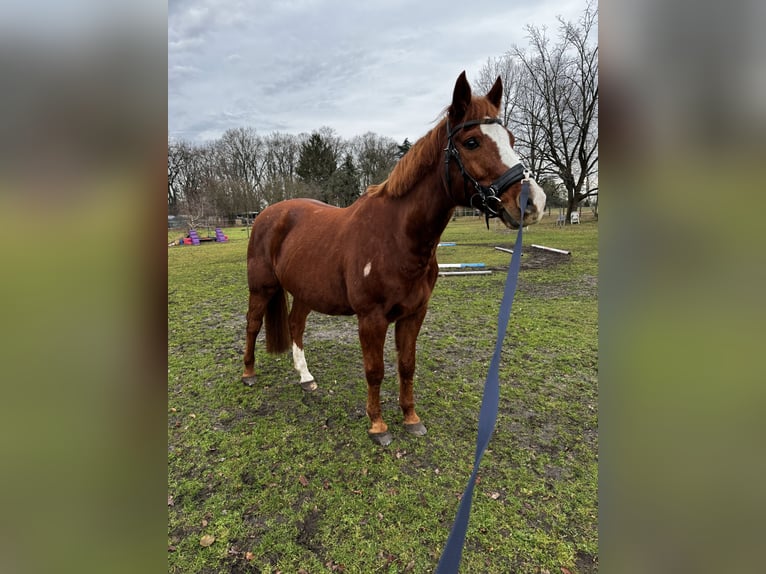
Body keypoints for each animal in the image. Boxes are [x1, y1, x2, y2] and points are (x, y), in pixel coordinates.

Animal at [243, 72, 548, 448]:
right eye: (472, 142)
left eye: (512, 139)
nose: (533, 202)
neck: (396, 237)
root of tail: (268, 213)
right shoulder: (371, 319)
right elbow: (375, 371)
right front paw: (378, 425)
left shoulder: (414, 314)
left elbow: (406, 365)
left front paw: (411, 418)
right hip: (261, 287)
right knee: (253, 325)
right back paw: (248, 372)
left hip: (304, 291)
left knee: (295, 324)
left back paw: (306, 377)